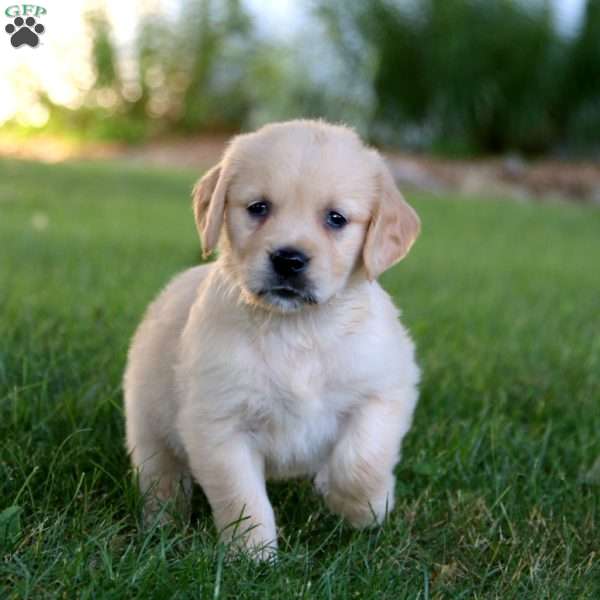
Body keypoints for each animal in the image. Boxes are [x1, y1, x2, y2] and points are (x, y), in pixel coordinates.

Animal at [124, 119, 420, 560]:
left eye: (336, 218)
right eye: (258, 208)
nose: (289, 259)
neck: (297, 328)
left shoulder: (385, 389)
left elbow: (361, 460)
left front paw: (363, 509)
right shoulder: (218, 422)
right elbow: (242, 498)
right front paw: (253, 557)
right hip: (148, 426)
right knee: (162, 479)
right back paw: (162, 528)